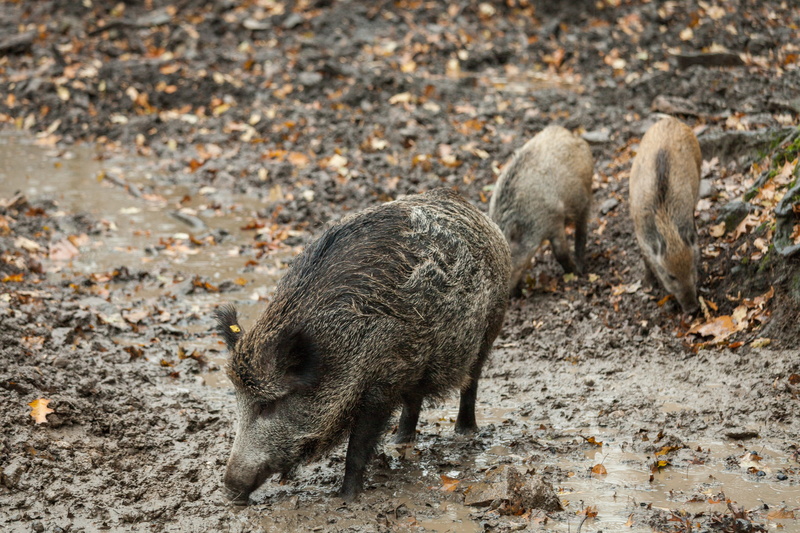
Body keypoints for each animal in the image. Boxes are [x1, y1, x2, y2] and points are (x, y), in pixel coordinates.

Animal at [216, 188, 511, 502]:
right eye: (238, 399)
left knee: (471, 382)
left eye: (268, 405)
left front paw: (346, 499)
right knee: (414, 399)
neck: (336, 348)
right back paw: (400, 441)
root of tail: (478, 214)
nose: (229, 491)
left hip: (491, 325)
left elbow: (357, 448)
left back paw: (465, 433)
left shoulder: (380, 383)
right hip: (419, 361)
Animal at [488, 125, 594, 294]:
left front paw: (575, 273)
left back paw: (580, 265)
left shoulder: (554, 218)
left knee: (582, 229)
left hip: (586, 193)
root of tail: (568, 133)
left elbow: (560, 252)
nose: (511, 296)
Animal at [629, 116, 702, 314]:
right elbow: (646, 259)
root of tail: (671, 120)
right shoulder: (641, 236)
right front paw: (647, 284)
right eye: (671, 276)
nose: (693, 309)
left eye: (692, 269)